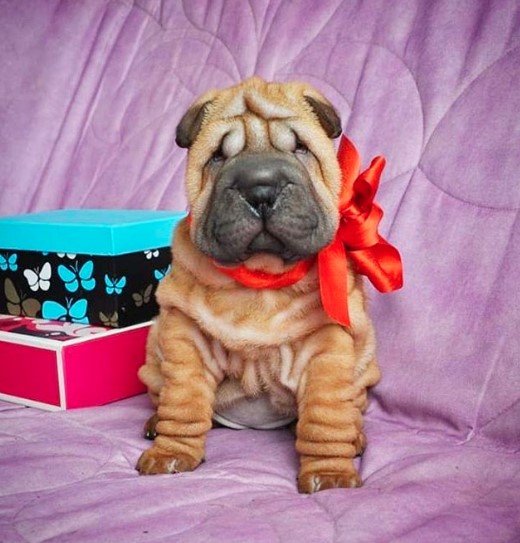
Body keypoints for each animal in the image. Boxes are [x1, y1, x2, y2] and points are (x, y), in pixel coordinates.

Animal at [136, 74, 380, 496]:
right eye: (218, 156)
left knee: (350, 410)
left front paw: (330, 474)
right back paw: (153, 425)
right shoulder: (186, 338)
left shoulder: (326, 349)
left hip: (364, 370)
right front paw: (171, 454)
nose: (261, 189)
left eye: (300, 148)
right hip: (154, 358)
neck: (261, 278)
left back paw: (357, 438)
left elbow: (325, 417)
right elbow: (182, 403)